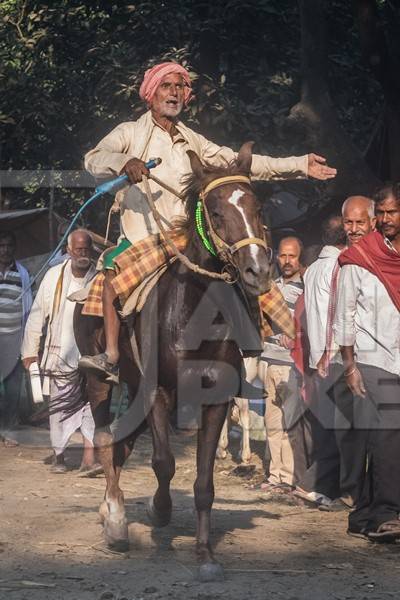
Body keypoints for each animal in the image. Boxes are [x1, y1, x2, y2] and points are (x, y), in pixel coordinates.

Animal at [72, 142, 272, 580]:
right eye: (215, 212)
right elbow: (164, 463)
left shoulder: (215, 400)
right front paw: (158, 511)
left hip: (133, 388)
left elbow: (204, 483)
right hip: (101, 382)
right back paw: (115, 519)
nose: (258, 271)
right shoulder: (158, 392)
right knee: (106, 438)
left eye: (257, 207)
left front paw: (205, 554)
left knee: (123, 444)